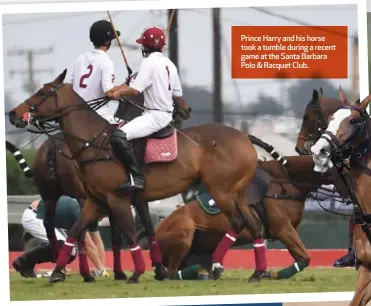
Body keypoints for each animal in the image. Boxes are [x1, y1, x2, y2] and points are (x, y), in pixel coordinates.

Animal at [7, 69, 260, 284]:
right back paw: (256, 273)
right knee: (254, 225)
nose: (12, 113)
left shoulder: (118, 199)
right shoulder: (97, 201)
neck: (94, 141)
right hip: (239, 193)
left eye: (42, 93)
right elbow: (75, 231)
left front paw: (136, 273)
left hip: (221, 191)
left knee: (239, 222)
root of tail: (245, 137)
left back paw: (217, 264)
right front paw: (57, 273)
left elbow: (129, 235)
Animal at [155, 137, 336, 280]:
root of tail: (158, 230)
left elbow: (302, 257)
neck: (285, 181)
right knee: (171, 273)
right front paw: (270, 274)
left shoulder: (289, 229)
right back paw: (205, 271)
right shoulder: (282, 229)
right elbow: (305, 258)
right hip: (185, 233)